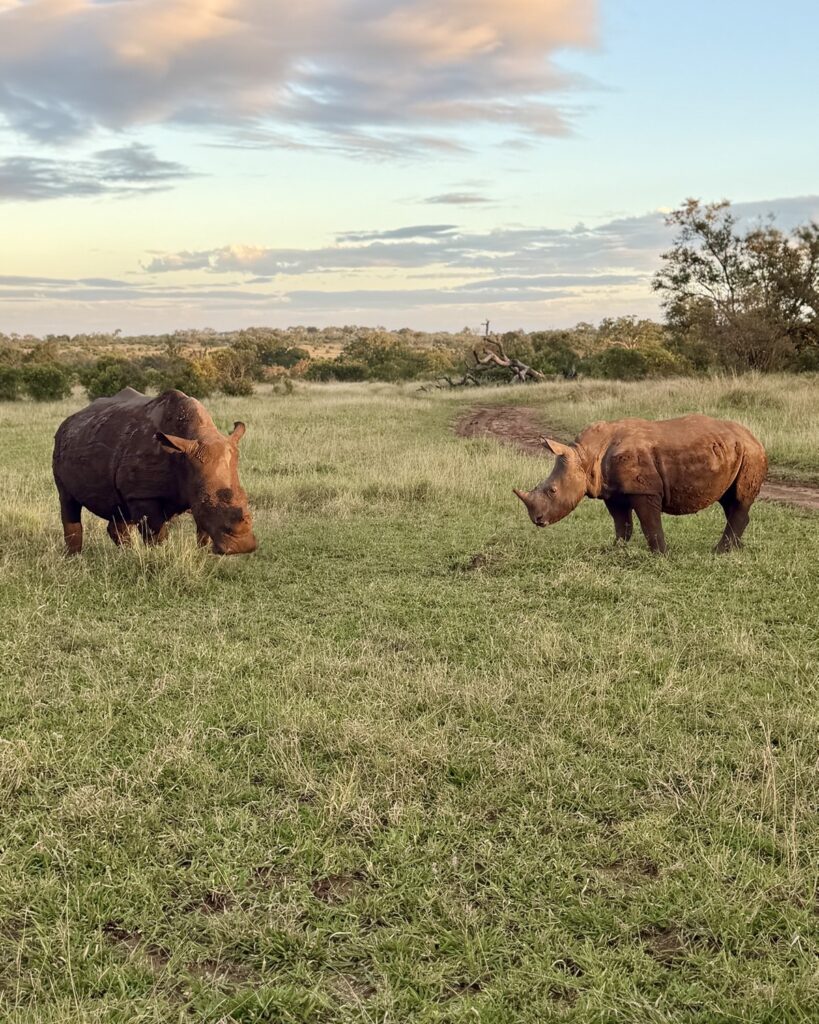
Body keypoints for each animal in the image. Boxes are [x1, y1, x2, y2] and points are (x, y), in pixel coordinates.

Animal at [53, 388, 257, 555]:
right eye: (206, 502)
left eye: (247, 499)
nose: (242, 548)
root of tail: (70, 419)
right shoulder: (143, 495)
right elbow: (156, 535)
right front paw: (160, 556)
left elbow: (203, 532)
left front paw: (204, 556)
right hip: (60, 443)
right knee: (68, 501)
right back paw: (75, 558)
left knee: (119, 509)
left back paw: (126, 554)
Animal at [513, 414, 767, 553]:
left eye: (552, 490)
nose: (537, 520)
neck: (586, 456)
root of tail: (754, 437)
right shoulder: (612, 491)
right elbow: (622, 524)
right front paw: (614, 550)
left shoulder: (644, 490)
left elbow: (650, 524)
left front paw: (660, 555)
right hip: (733, 451)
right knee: (729, 499)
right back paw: (735, 548)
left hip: (751, 453)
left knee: (738, 499)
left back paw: (719, 551)